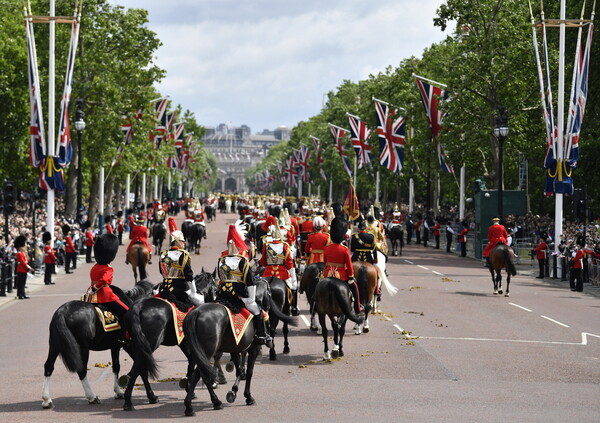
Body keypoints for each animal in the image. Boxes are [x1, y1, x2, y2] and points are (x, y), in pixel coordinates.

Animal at [41, 280, 155, 410]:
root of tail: (61, 312)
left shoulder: (115, 346)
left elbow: (116, 366)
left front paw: (118, 391)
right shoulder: (131, 347)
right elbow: (142, 369)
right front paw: (151, 396)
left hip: (54, 346)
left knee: (49, 367)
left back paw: (47, 400)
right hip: (83, 348)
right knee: (81, 370)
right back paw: (92, 397)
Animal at [120, 270, 217, 412]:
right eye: (216, 287)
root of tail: (139, 306)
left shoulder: (184, 344)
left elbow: (190, 365)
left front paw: (190, 389)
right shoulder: (192, 345)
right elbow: (193, 366)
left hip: (138, 346)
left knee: (141, 368)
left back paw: (150, 396)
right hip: (150, 344)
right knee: (137, 368)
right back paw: (129, 401)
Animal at [182, 280, 274, 416]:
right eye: (270, 293)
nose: (268, 307)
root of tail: (196, 312)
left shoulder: (234, 349)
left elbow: (239, 371)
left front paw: (233, 392)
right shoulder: (254, 349)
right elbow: (249, 372)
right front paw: (248, 397)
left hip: (198, 353)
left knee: (199, 374)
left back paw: (204, 403)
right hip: (206, 352)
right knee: (201, 375)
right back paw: (204, 404)